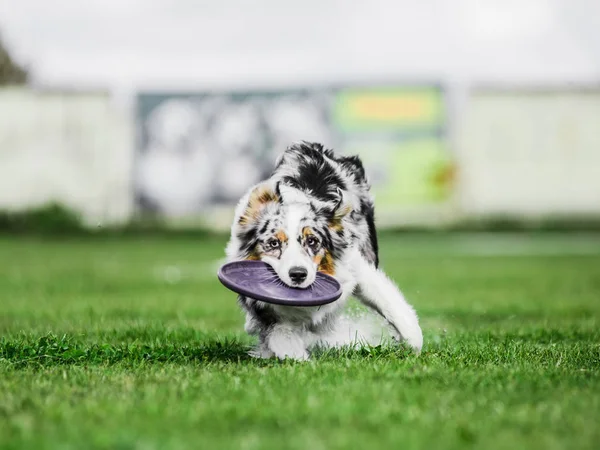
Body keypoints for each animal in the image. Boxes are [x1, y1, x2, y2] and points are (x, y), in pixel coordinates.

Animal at [225, 142, 422, 360]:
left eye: (312, 241)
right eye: (273, 243)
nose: (298, 274)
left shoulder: (357, 268)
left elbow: (389, 302)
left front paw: (414, 343)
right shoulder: (265, 308)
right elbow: (280, 334)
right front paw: (296, 355)